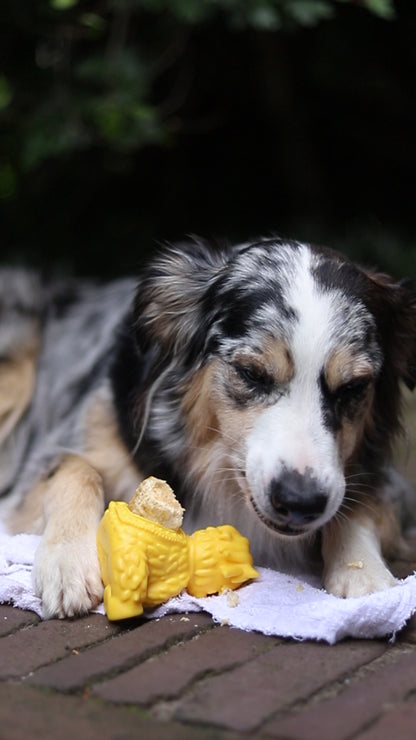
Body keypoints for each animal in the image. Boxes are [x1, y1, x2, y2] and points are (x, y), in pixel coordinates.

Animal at [0, 238, 416, 620]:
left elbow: (357, 503)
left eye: (354, 387)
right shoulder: (57, 449)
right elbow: (75, 470)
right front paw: (67, 560)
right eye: (251, 373)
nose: (300, 502)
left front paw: (365, 573)